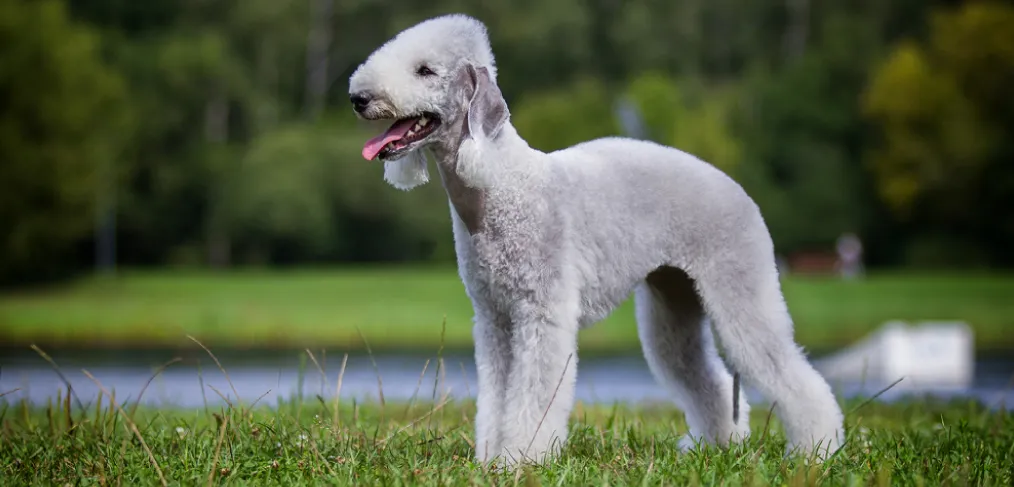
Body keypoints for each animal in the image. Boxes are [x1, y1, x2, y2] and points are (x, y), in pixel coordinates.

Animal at [350, 13, 847, 466]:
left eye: (425, 70)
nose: (358, 98)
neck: (499, 184)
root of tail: (738, 189)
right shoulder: (494, 319)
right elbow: (496, 395)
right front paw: (491, 459)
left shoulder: (542, 313)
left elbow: (534, 395)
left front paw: (521, 459)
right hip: (674, 302)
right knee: (706, 377)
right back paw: (717, 446)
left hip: (741, 287)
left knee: (789, 371)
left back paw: (817, 450)